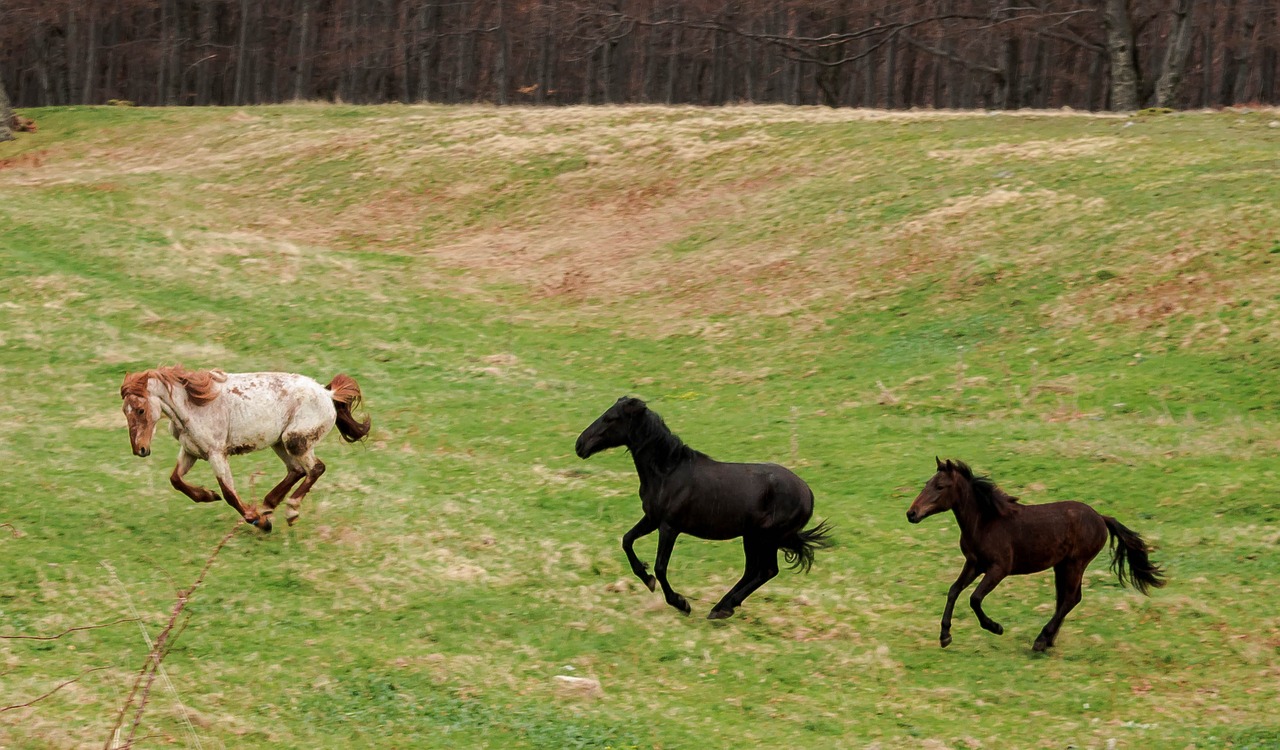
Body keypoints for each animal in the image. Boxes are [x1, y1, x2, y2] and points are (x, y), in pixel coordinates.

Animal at [120, 366, 371, 527]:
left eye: (140, 410)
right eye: (125, 410)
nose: (140, 449)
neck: (195, 404)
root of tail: (329, 394)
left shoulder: (216, 454)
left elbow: (229, 494)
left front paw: (257, 521)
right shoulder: (191, 452)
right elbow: (176, 480)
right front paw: (208, 495)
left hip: (295, 441)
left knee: (315, 469)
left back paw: (290, 510)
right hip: (280, 443)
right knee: (297, 470)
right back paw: (268, 504)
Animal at [573, 394, 829, 616]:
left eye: (611, 418)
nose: (579, 445)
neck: (667, 472)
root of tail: (808, 494)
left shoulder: (669, 527)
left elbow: (660, 567)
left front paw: (680, 603)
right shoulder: (652, 519)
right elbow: (627, 541)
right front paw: (647, 580)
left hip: (764, 538)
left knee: (765, 571)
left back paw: (722, 609)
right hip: (752, 537)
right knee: (754, 571)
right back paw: (722, 607)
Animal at [906, 455, 1167, 647]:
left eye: (940, 486)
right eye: (926, 484)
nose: (911, 513)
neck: (985, 523)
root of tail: (1101, 518)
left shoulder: (999, 568)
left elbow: (975, 598)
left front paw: (995, 627)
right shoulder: (974, 563)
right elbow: (953, 591)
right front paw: (945, 636)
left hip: (1076, 563)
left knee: (1071, 598)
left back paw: (1041, 640)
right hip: (1062, 565)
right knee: (1065, 599)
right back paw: (1048, 641)